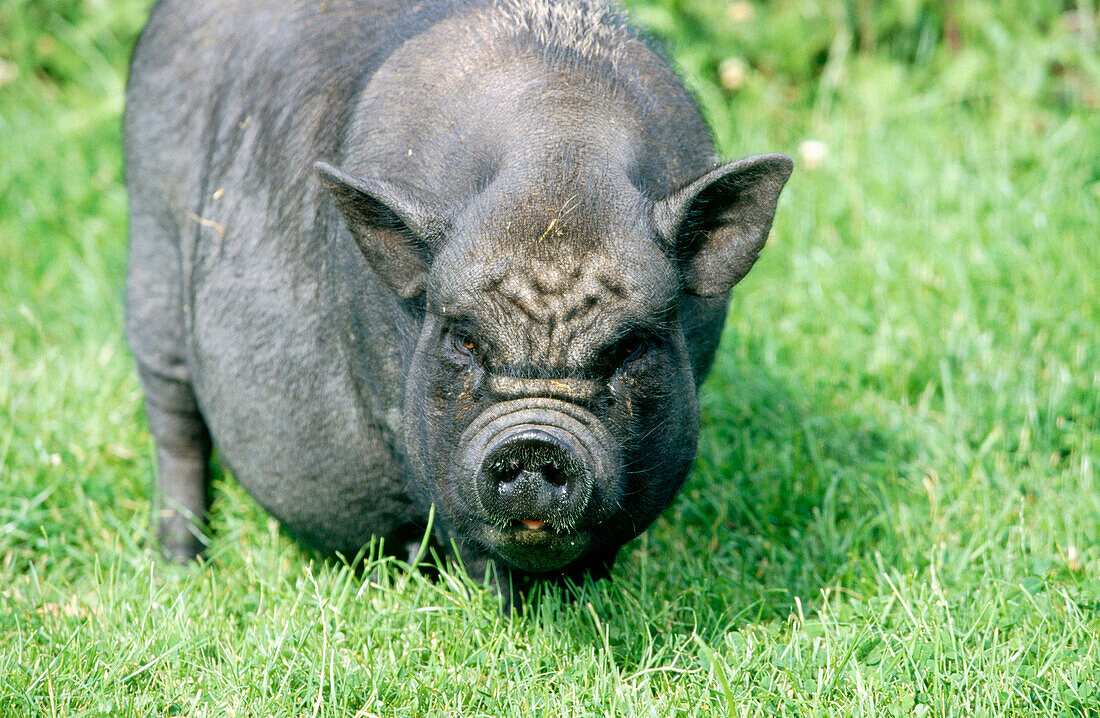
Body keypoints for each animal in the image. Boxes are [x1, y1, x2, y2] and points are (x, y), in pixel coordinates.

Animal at [124, 0, 792, 598]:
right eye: (466, 340)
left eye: (629, 348)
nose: (533, 442)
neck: (559, 151)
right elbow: (470, 540)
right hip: (152, 265)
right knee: (175, 427)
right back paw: (182, 565)